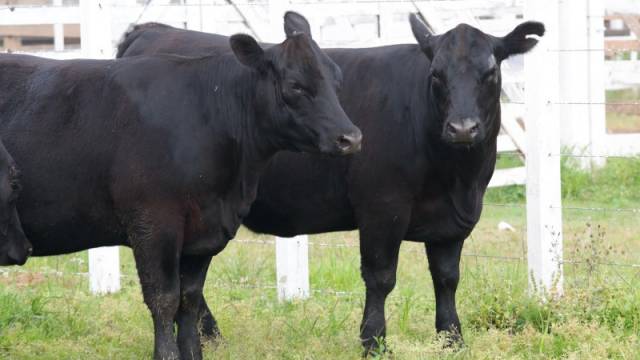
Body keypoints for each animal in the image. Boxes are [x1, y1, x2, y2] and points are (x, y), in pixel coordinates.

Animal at [0, 12, 360, 358]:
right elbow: (164, 299)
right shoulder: (154, 224)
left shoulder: (203, 233)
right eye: (295, 85)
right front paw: (166, 354)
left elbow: (189, 298)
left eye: (337, 79)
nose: (350, 137)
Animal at [117, 13, 544, 352]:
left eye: (491, 73)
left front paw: (452, 339)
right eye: (436, 75)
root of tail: (152, 29)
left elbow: (447, 278)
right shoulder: (382, 207)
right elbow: (380, 278)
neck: (457, 178)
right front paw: (373, 342)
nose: (462, 128)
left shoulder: (453, 221)